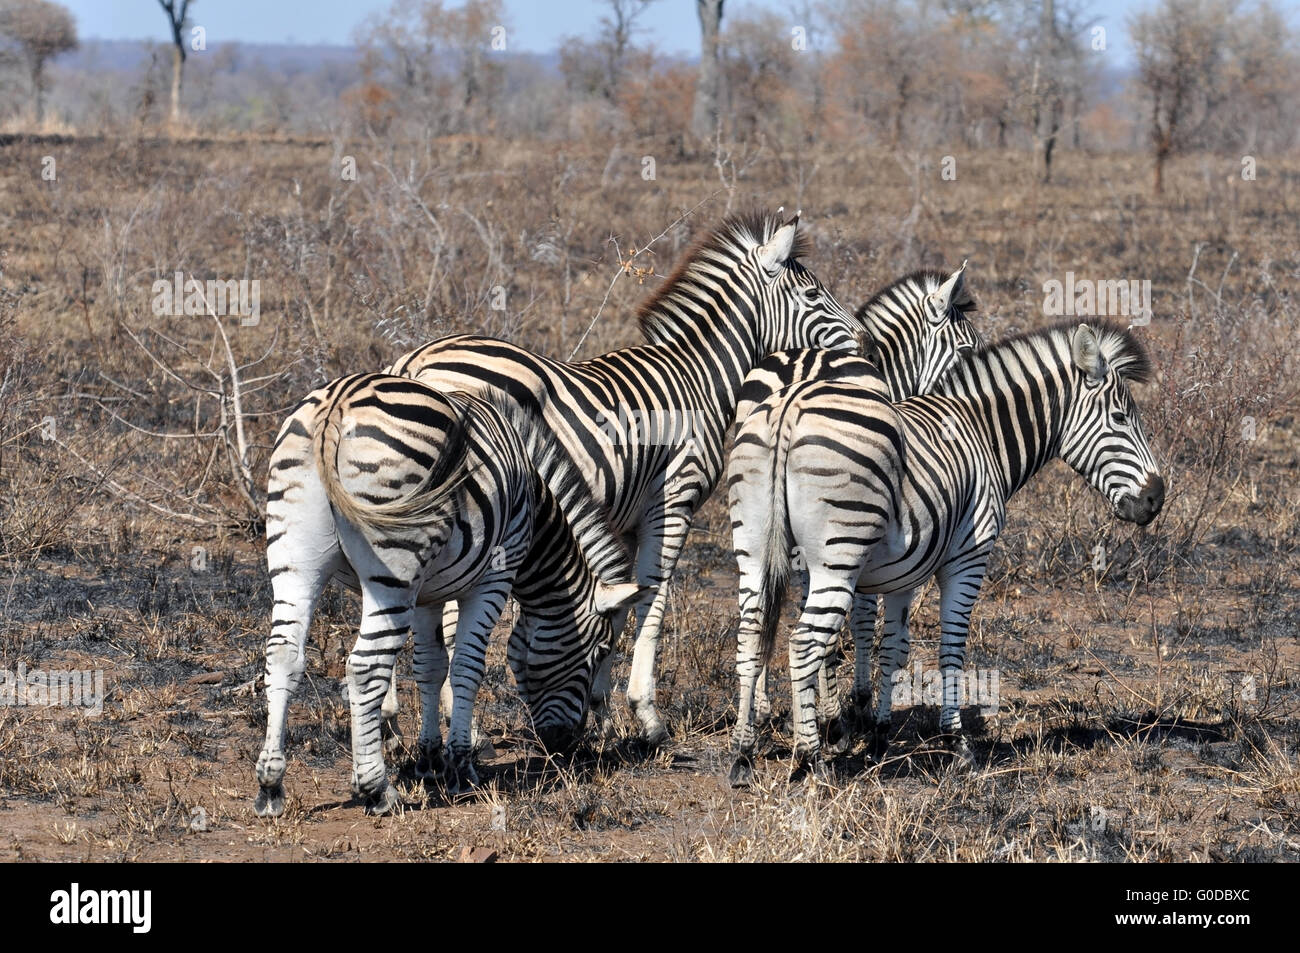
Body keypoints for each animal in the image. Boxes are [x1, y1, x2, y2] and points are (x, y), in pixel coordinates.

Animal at [253, 374, 644, 816]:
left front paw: (428, 760)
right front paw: (460, 766)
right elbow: (466, 668)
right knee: (365, 667)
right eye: (600, 651)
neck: (535, 512)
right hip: (395, 567)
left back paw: (271, 785)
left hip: (294, 555)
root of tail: (336, 403)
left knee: (283, 654)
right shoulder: (494, 577)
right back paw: (377, 789)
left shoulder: (429, 595)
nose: (568, 746)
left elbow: (429, 666)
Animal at [384, 208, 863, 743]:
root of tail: (413, 362)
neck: (699, 377)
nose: (861, 342)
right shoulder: (674, 500)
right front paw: (646, 714)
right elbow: (652, 596)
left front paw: (601, 710)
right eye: (813, 295)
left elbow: (616, 604)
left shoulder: (625, 520)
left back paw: (392, 720)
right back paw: (456, 724)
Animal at [733, 319, 1170, 780]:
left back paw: (743, 753)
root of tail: (789, 404)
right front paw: (957, 744)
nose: (1156, 499)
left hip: (755, 548)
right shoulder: (969, 557)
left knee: (750, 637)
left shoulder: (902, 571)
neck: (984, 434)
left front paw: (880, 737)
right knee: (803, 644)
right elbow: (951, 650)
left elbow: (892, 649)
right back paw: (809, 760)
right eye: (1120, 418)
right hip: (839, 555)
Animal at [738, 262, 977, 743]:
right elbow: (865, 617)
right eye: (966, 348)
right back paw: (826, 717)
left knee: (760, 604)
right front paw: (860, 702)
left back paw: (764, 709)